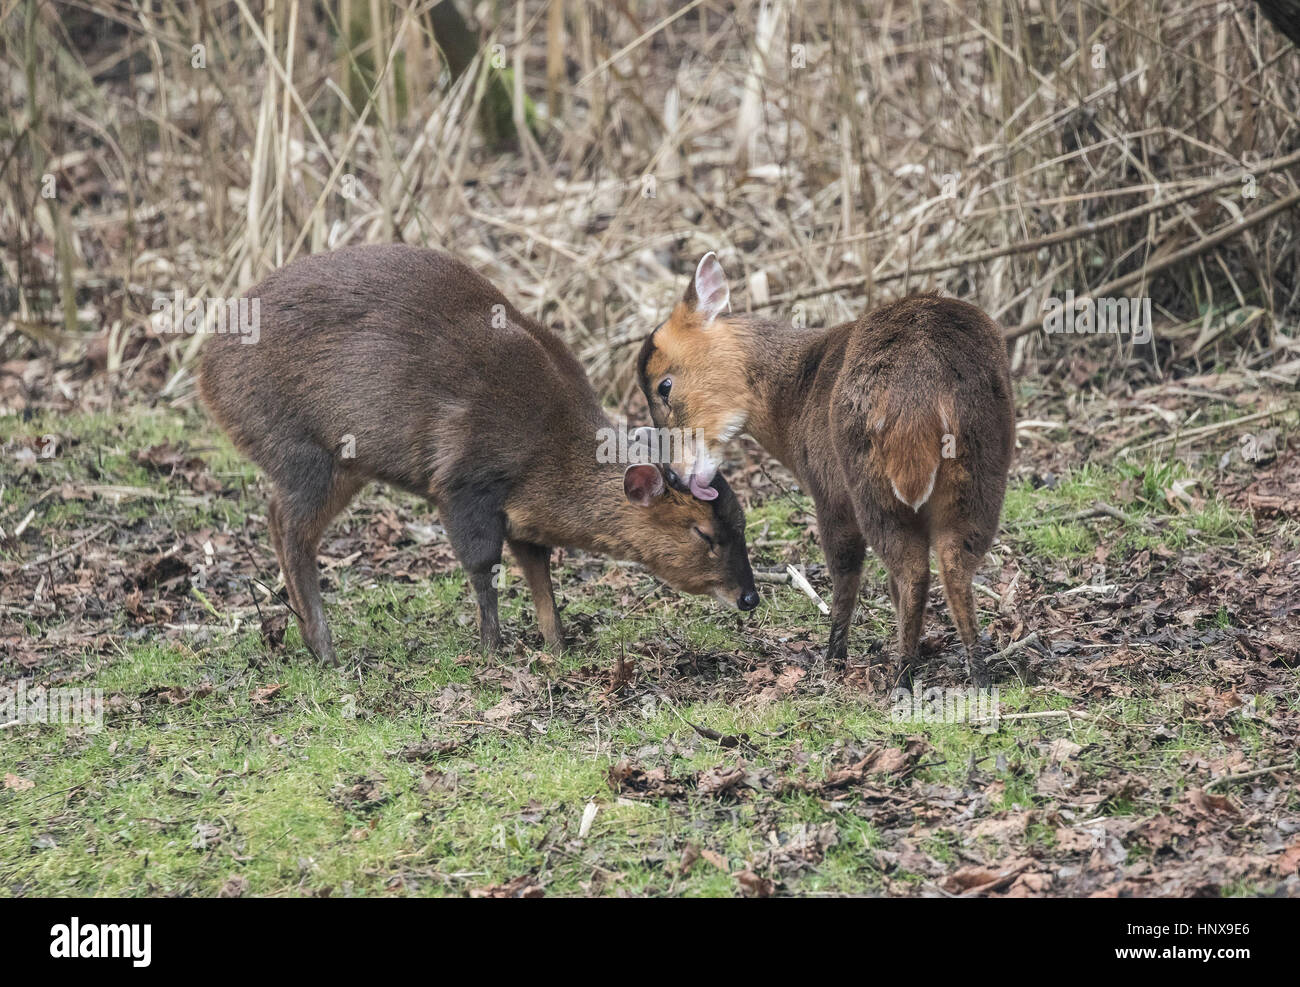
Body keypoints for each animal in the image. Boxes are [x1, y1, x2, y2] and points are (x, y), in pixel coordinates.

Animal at [639, 252, 1013, 686]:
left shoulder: (828, 490)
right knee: (954, 565)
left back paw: (901, 673)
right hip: (981, 473)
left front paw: (834, 658)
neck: (794, 398)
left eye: (664, 386)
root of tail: (922, 389)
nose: (674, 475)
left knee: (912, 570)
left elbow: (846, 573)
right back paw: (977, 671)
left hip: (869, 485)